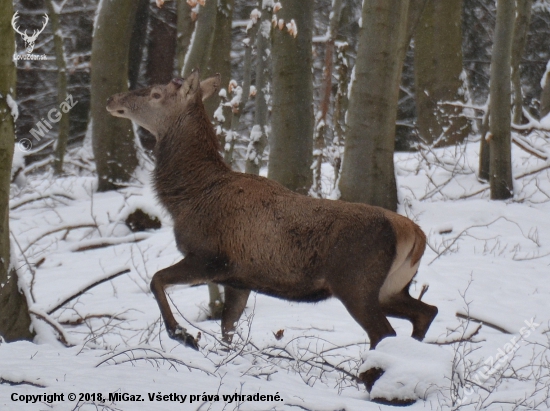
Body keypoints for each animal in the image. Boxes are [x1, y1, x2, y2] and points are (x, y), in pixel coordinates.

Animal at [105, 70, 438, 354]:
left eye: (156, 94)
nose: (112, 98)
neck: (186, 198)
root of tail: (415, 235)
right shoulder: (238, 279)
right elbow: (228, 327)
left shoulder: (210, 256)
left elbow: (156, 279)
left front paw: (183, 335)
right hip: (390, 288)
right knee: (427, 311)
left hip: (356, 283)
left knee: (384, 333)